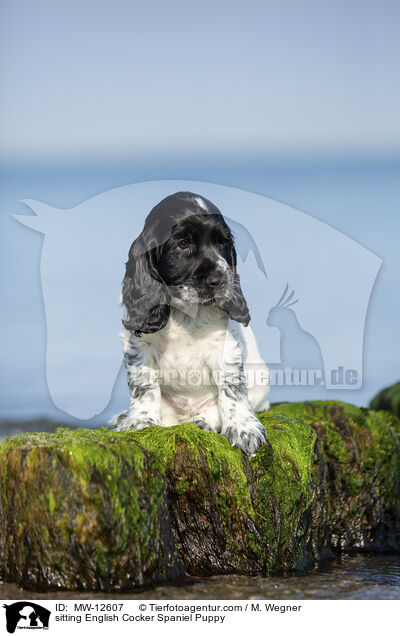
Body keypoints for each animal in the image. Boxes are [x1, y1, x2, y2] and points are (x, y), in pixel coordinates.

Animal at [111, 191, 270, 454]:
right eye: (183, 244)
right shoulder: (139, 344)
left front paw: (243, 428)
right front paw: (139, 421)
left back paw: (201, 422)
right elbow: (143, 385)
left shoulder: (225, 347)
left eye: (222, 243)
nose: (220, 279)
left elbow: (232, 389)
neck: (184, 313)